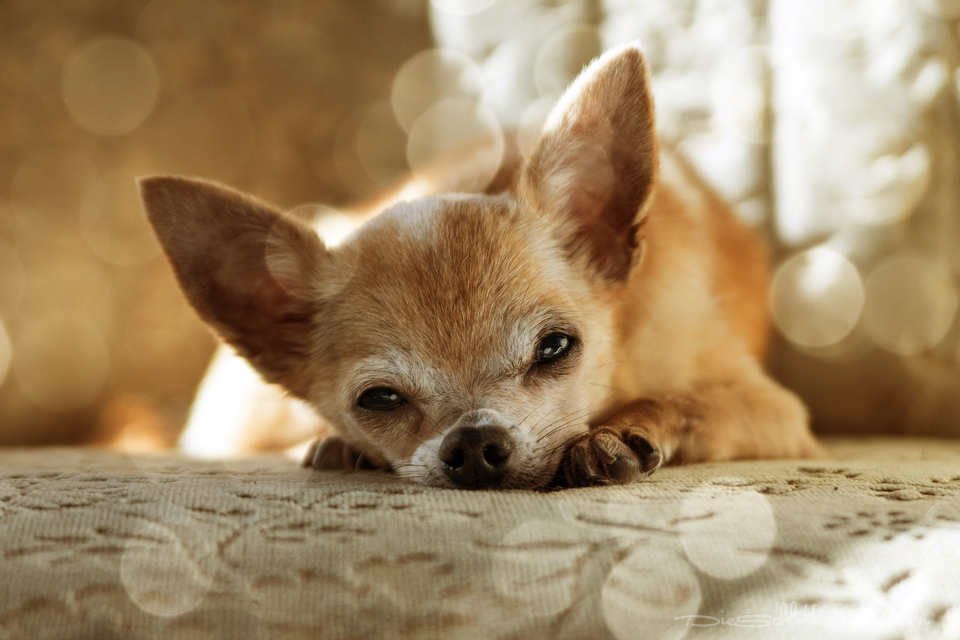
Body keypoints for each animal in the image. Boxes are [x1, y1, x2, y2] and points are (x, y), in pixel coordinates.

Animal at [141, 42, 816, 488]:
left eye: (555, 348)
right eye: (379, 400)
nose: (473, 443)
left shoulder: (778, 415)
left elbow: (688, 402)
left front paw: (623, 428)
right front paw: (340, 443)